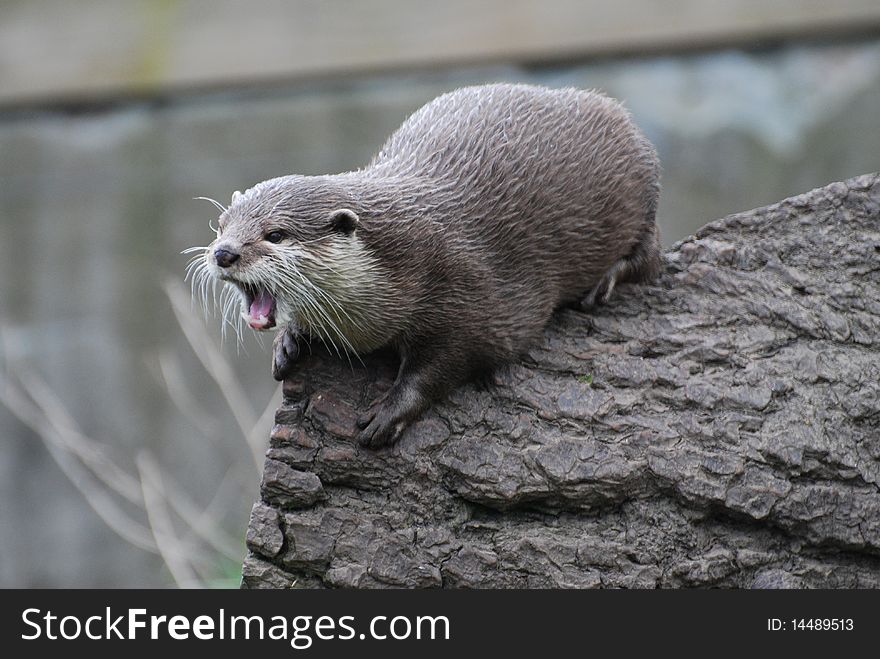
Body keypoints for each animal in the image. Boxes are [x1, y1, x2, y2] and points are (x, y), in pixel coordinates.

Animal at [191, 81, 660, 444]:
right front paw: (289, 341)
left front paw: (389, 413)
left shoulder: (469, 293)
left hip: (644, 183)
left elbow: (449, 362)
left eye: (275, 234)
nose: (224, 252)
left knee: (648, 258)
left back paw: (605, 282)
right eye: (222, 225)